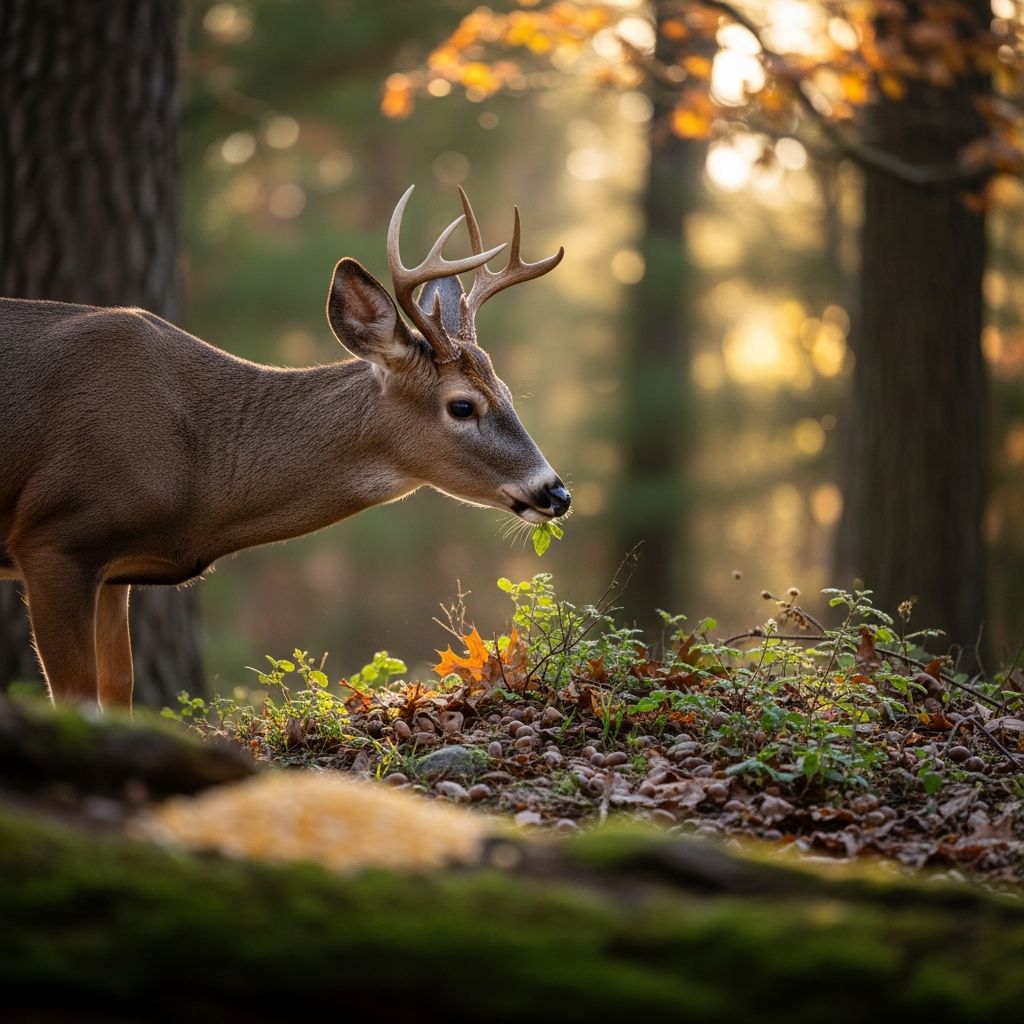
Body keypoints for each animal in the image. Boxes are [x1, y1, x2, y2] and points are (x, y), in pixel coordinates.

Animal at [0, 186, 570, 709]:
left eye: (508, 392)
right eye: (462, 406)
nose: (557, 493)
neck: (198, 470)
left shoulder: (115, 571)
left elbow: (120, 689)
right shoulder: (54, 538)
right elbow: (77, 697)